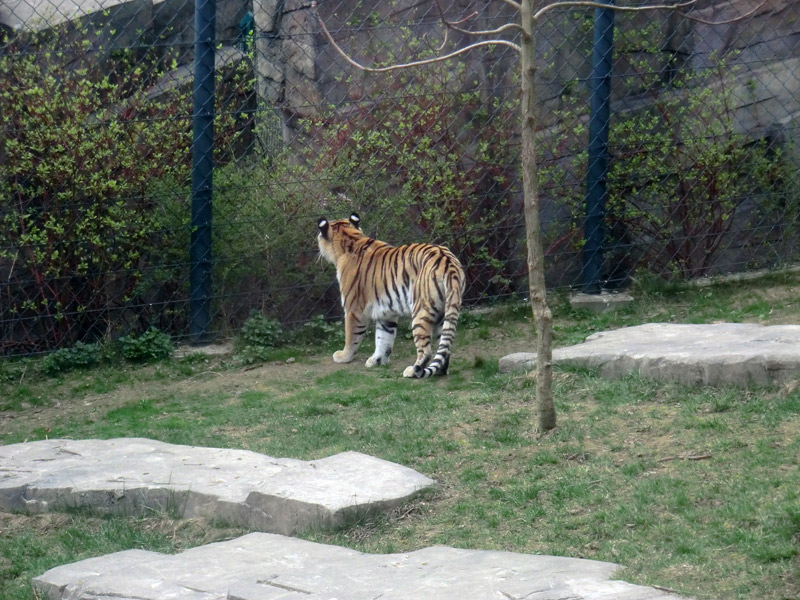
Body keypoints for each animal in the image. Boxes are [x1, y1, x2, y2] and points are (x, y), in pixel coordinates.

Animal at [318, 213, 466, 378]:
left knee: (426, 351)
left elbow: (351, 336)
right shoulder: (386, 313)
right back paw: (440, 371)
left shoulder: (354, 310)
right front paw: (377, 360)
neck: (350, 238)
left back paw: (412, 371)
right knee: (445, 347)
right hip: (443, 311)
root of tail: (449, 262)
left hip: (420, 311)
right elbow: (383, 338)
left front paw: (343, 356)